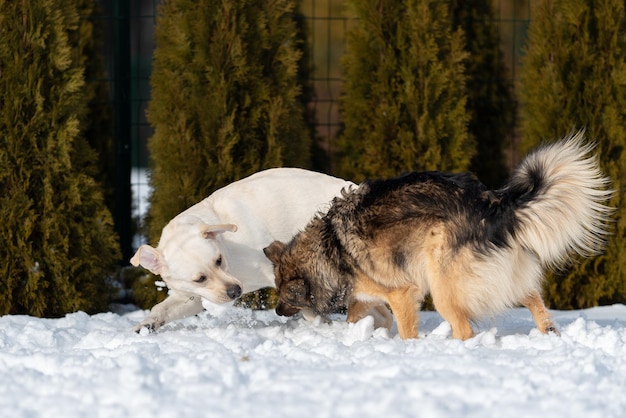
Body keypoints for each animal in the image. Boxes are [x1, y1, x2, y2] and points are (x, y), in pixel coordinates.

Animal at [130, 167, 390, 334]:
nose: (235, 291)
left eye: (219, 260)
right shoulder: (192, 296)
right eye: (200, 279)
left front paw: (320, 323)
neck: (230, 251)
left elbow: (302, 302)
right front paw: (146, 324)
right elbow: (162, 308)